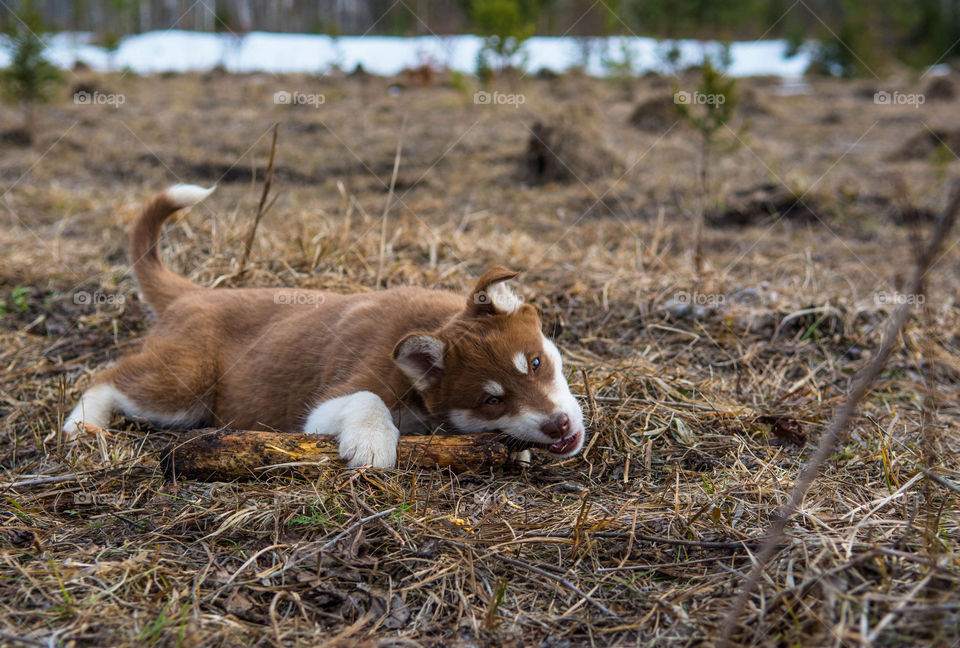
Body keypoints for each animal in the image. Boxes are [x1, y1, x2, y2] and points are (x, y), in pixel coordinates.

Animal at [63, 184, 584, 466]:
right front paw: (372, 444)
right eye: (491, 400)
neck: (432, 321)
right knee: (106, 378)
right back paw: (81, 426)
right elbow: (367, 399)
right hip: (184, 385)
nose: (559, 425)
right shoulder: (328, 403)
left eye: (536, 363)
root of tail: (193, 293)